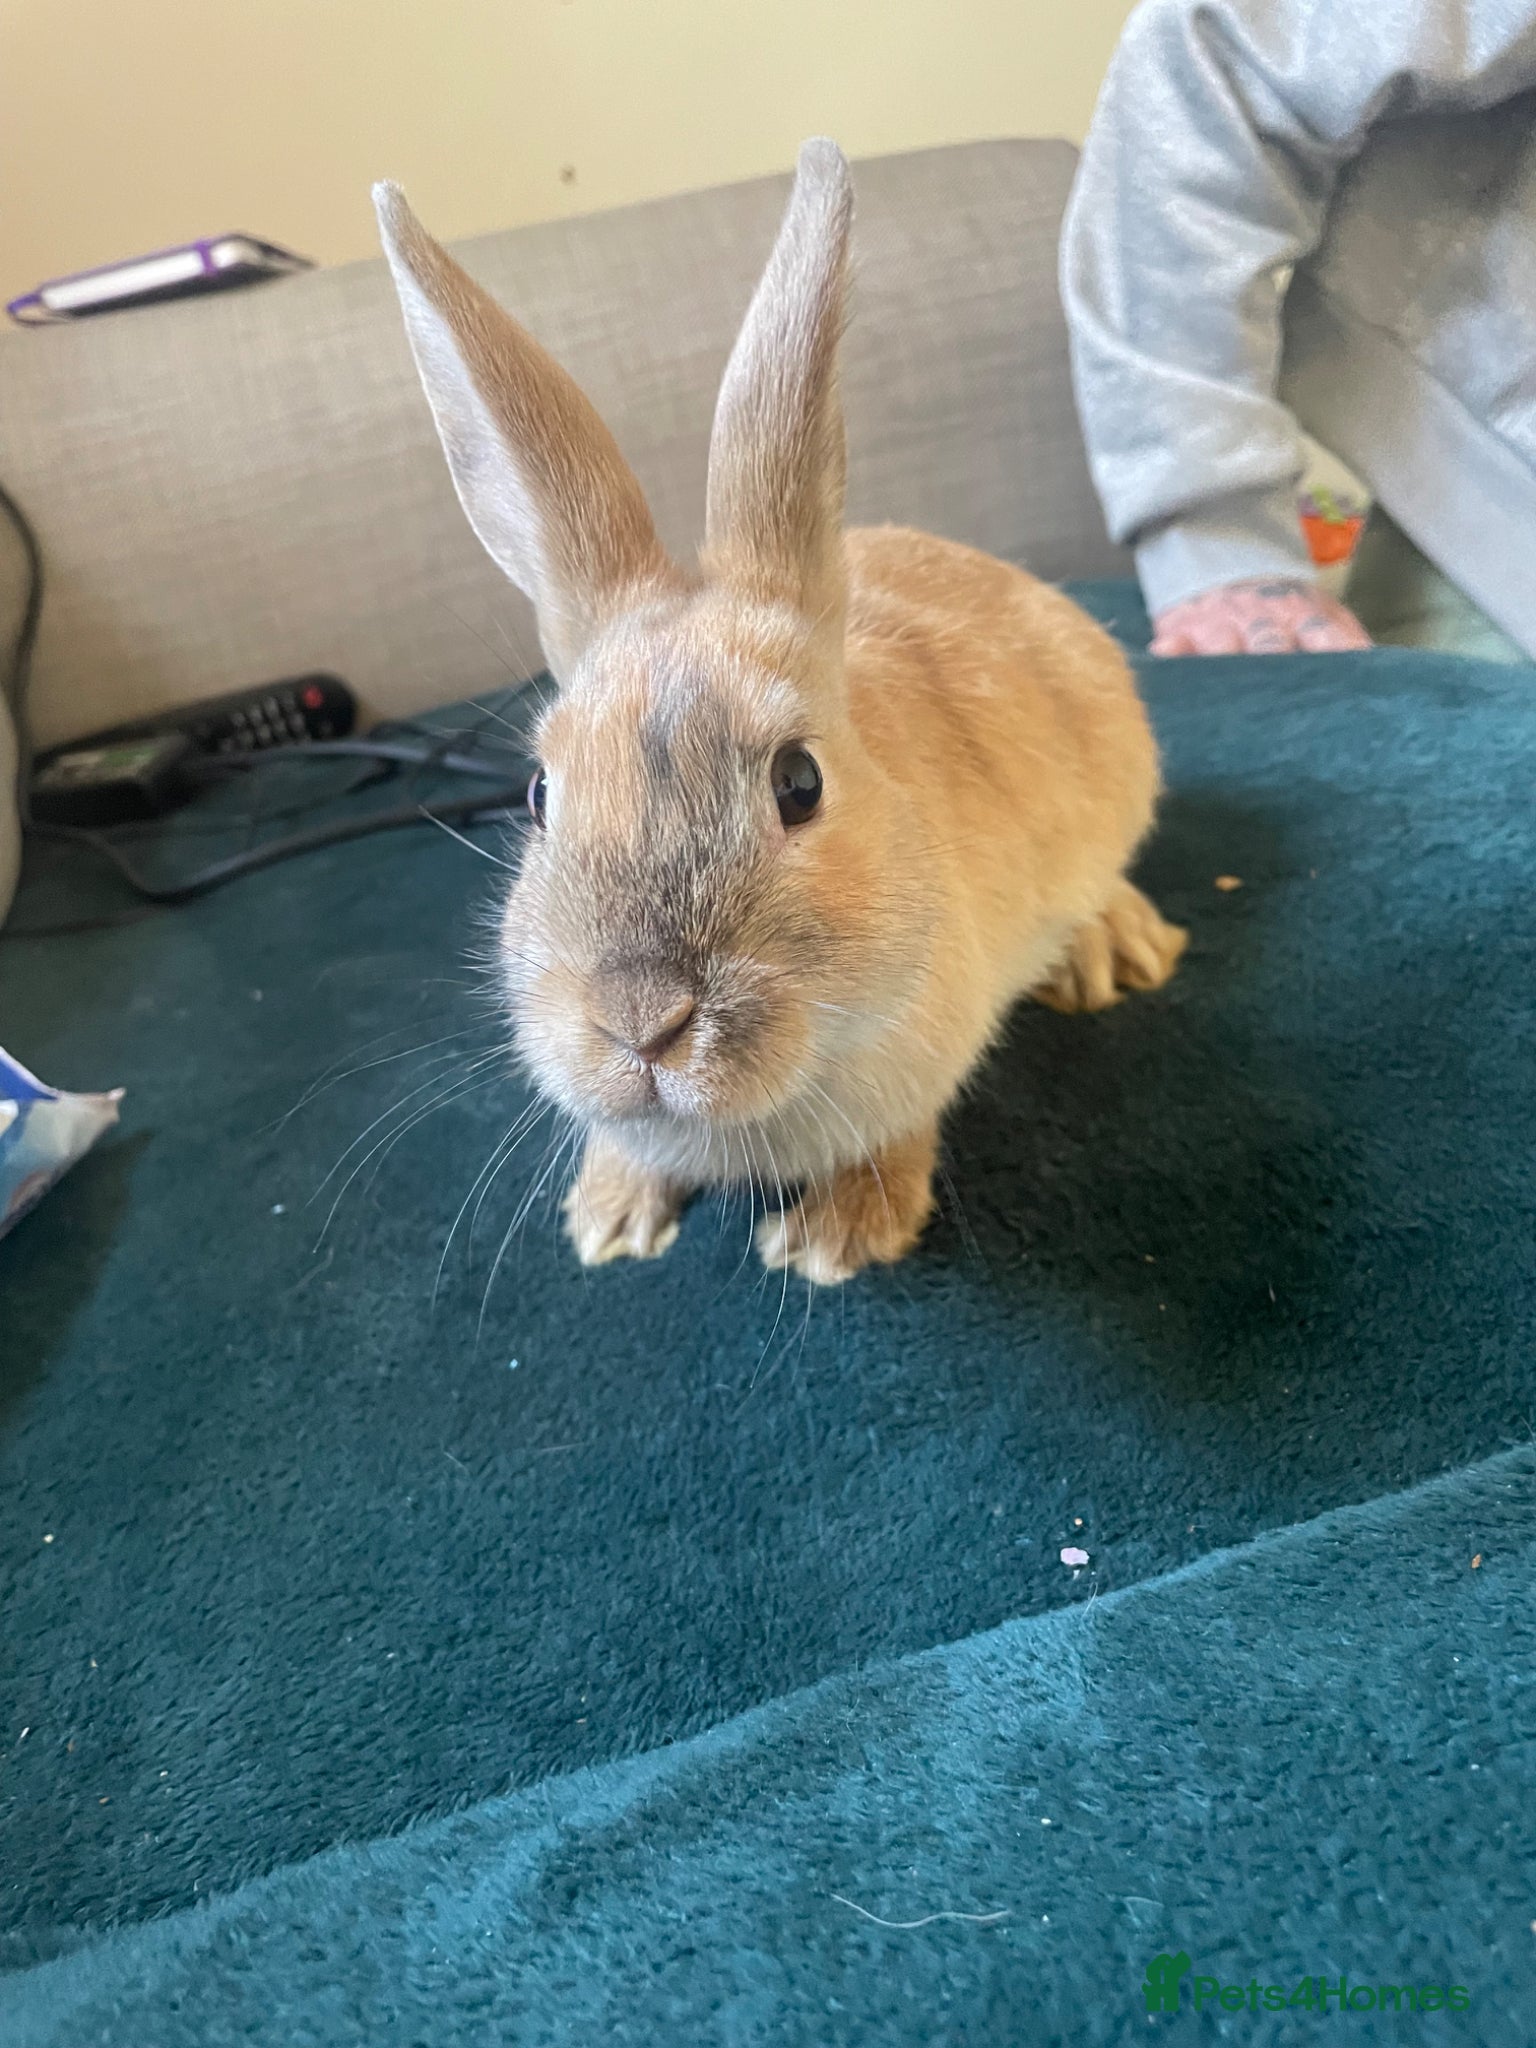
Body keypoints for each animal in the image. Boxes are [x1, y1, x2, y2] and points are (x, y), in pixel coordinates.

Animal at [374, 138, 1185, 1285]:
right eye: (537, 795)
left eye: (799, 783)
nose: (642, 1024)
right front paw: (607, 1218)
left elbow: (897, 1141)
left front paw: (834, 1240)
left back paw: (1116, 952)